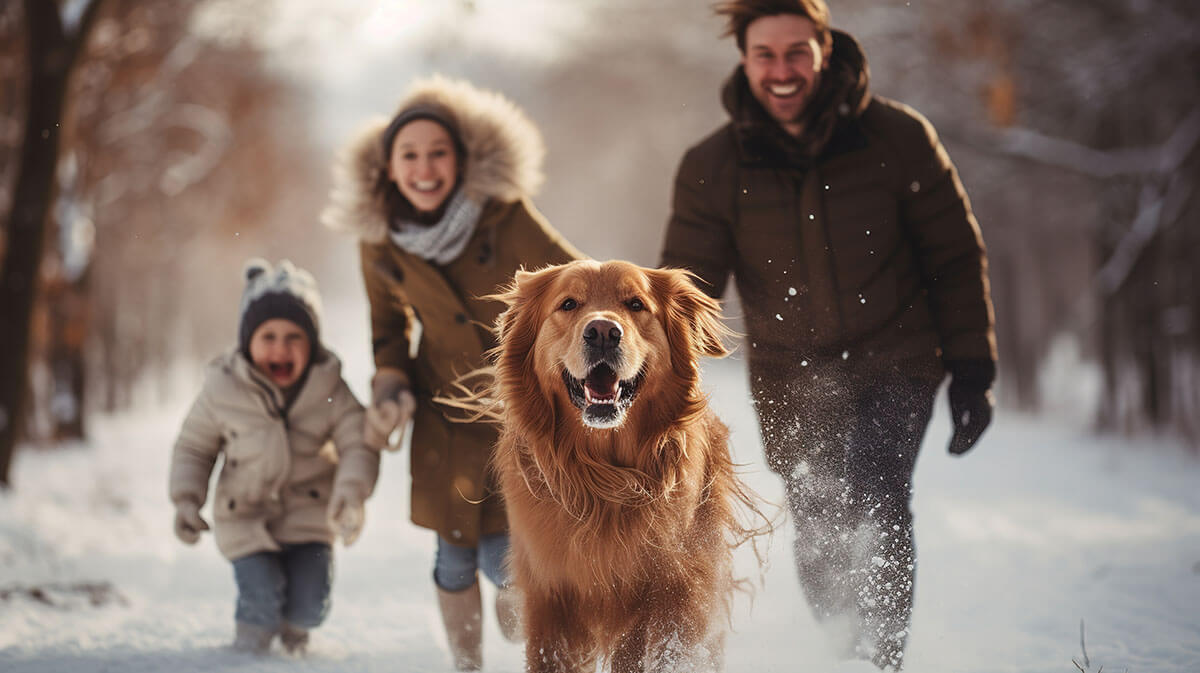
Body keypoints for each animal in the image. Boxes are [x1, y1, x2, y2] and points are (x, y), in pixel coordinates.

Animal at [489, 261, 763, 671]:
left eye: (636, 304)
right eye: (568, 303)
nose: (603, 332)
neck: (608, 478)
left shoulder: (677, 586)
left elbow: (668, 650)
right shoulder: (551, 595)